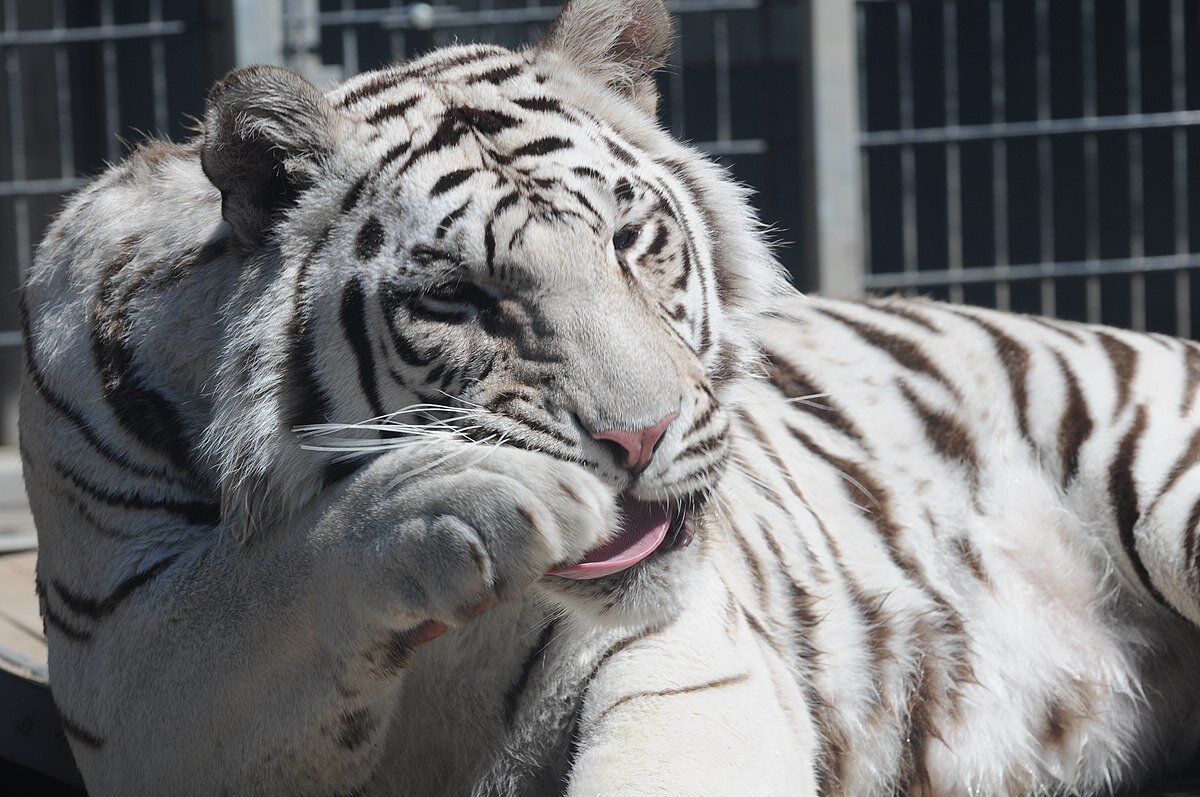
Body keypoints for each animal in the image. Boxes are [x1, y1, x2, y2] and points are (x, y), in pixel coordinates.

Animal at [16, 0, 1200, 792]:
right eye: (456, 298)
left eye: (632, 241)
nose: (641, 437)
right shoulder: (122, 674)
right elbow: (253, 597)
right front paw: (473, 488)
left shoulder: (682, 660)